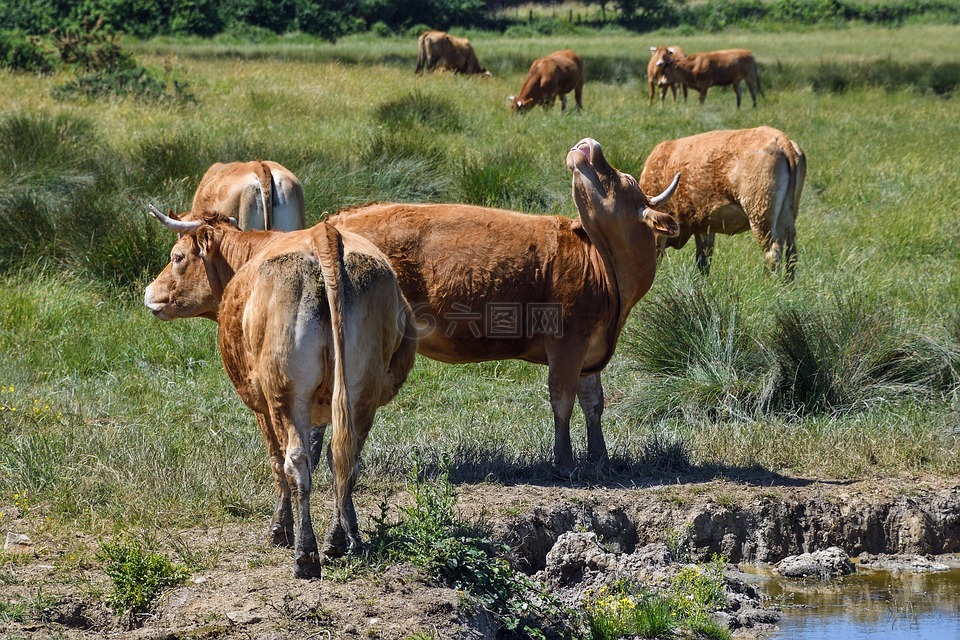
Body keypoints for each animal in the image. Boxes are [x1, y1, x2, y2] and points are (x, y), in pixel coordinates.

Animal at [143, 209, 416, 576]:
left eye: (177, 257)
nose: (149, 292)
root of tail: (323, 235)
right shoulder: (323, 408)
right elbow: (322, 452)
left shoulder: (260, 404)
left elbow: (277, 460)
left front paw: (280, 529)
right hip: (361, 393)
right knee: (345, 459)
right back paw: (341, 539)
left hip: (284, 394)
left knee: (295, 462)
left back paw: (306, 554)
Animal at [330, 136, 684, 476]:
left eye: (624, 179)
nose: (589, 144)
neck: (603, 267)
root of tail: (339, 218)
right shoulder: (568, 342)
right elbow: (562, 399)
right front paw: (565, 462)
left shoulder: (590, 349)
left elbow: (593, 402)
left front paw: (600, 458)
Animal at [640, 127, 808, 278]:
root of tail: (780, 139)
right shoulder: (704, 226)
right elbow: (703, 261)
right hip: (787, 217)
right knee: (791, 252)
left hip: (761, 216)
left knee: (772, 252)